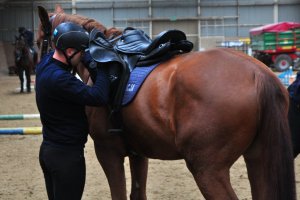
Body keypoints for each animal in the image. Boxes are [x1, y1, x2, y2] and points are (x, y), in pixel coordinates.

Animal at [37, 5, 296, 200]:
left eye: (40, 39)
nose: (39, 67)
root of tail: (258, 74)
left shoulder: (108, 151)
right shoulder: (137, 153)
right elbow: (137, 194)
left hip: (207, 170)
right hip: (258, 159)